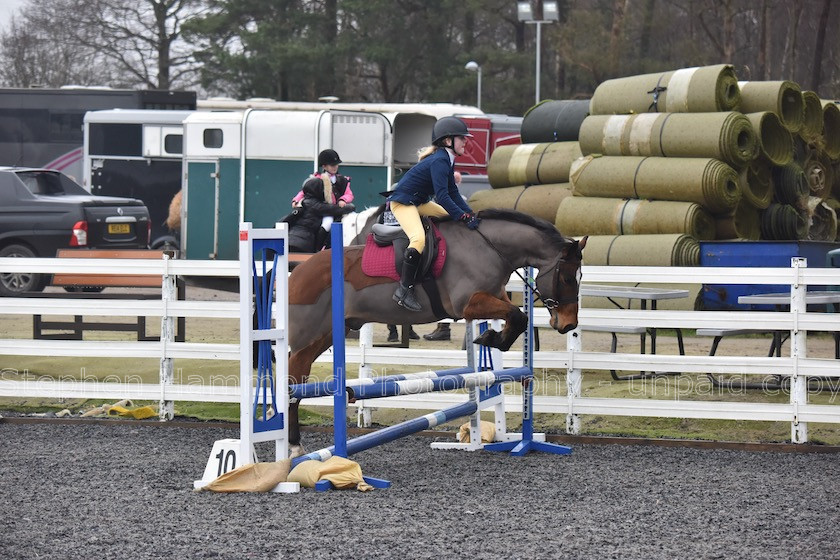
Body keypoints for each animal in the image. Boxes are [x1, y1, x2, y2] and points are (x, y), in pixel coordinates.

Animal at [286, 208, 588, 452]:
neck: (489, 247)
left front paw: (491, 337)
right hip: (307, 340)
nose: (568, 324)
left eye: (580, 276)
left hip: (324, 336)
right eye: (565, 278)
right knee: (291, 383)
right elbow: (517, 314)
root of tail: (297, 273)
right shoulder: (468, 305)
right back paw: (295, 447)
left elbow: (517, 317)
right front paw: (491, 337)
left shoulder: (494, 298)